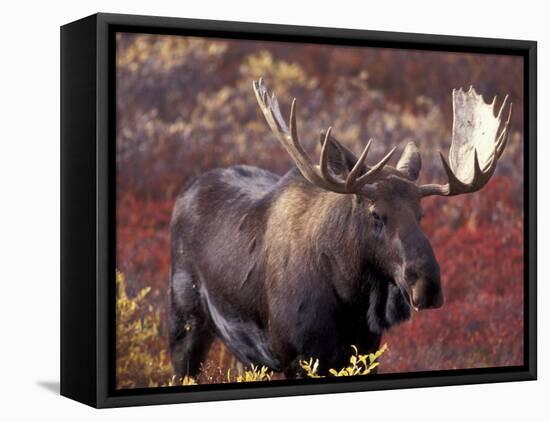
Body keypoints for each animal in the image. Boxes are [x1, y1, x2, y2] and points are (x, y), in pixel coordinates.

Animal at [168, 79, 512, 380]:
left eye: (421, 214)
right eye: (376, 214)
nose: (427, 286)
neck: (351, 298)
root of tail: (185, 192)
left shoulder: (365, 352)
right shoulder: (296, 355)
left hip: (248, 356)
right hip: (185, 323)